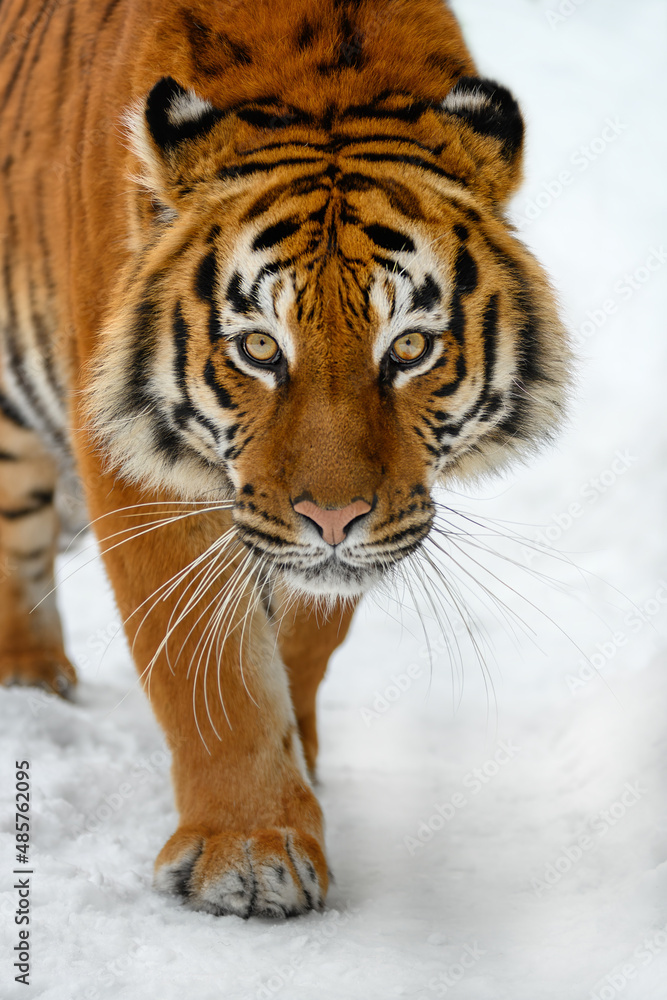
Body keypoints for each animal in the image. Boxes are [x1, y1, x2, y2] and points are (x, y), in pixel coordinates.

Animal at [1, 0, 568, 916]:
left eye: (409, 347)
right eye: (260, 348)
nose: (331, 518)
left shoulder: (367, 525)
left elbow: (305, 633)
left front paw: (299, 762)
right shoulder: (140, 467)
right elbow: (209, 670)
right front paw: (248, 851)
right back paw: (30, 677)